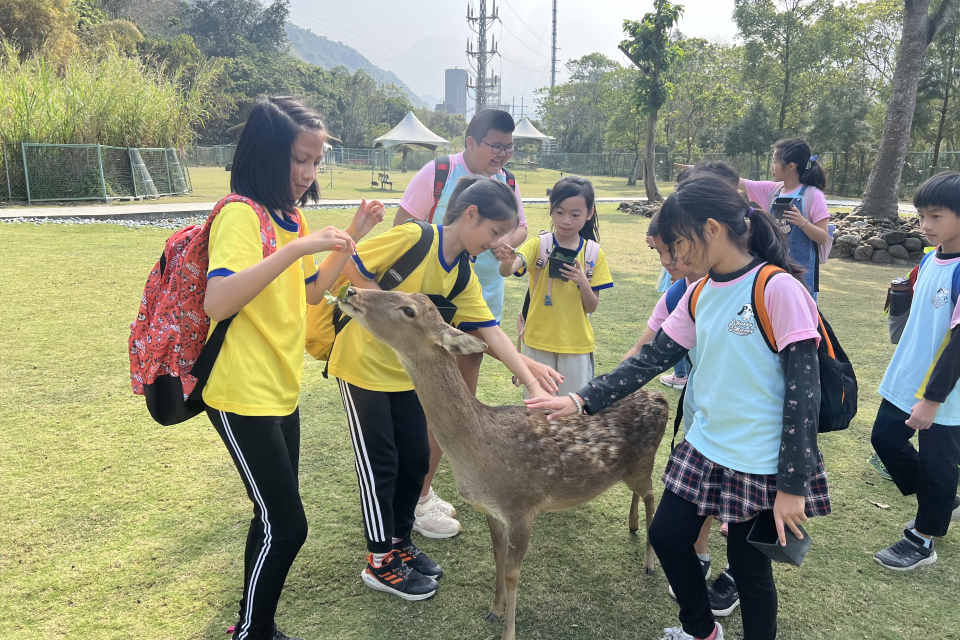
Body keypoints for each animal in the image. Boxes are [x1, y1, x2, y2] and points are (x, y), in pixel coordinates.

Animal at [338, 288, 668, 640]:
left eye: (409, 310)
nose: (352, 291)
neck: (480, 455)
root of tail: (660, 400)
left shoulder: (522, 506)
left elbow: (512, 572)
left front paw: (509, 631)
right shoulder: (493, 510)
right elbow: (497, 557)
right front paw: (494, 611)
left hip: (644, 462)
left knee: (652, 495)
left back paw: (649, 563)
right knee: (642, 494)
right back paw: (632, 525)